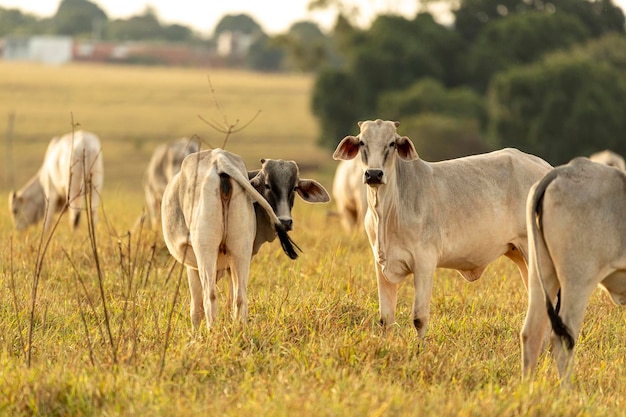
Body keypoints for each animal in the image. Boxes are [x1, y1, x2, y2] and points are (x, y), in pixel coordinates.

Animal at [334, 118, 548, 336]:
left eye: (392, 143)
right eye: (362, 142)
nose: (374, 174)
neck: (387, 212)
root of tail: (545, 167)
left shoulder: (425, 263)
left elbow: (419, 318)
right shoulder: (380, 265)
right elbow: (386, 319)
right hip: (518, 252)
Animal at [516, 158, 624, 386]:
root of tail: (564, 170)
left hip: (541, 274)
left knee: (531, 333)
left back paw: (527, 388)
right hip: (578, 280)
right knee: (563, 337)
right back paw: (568, 391)